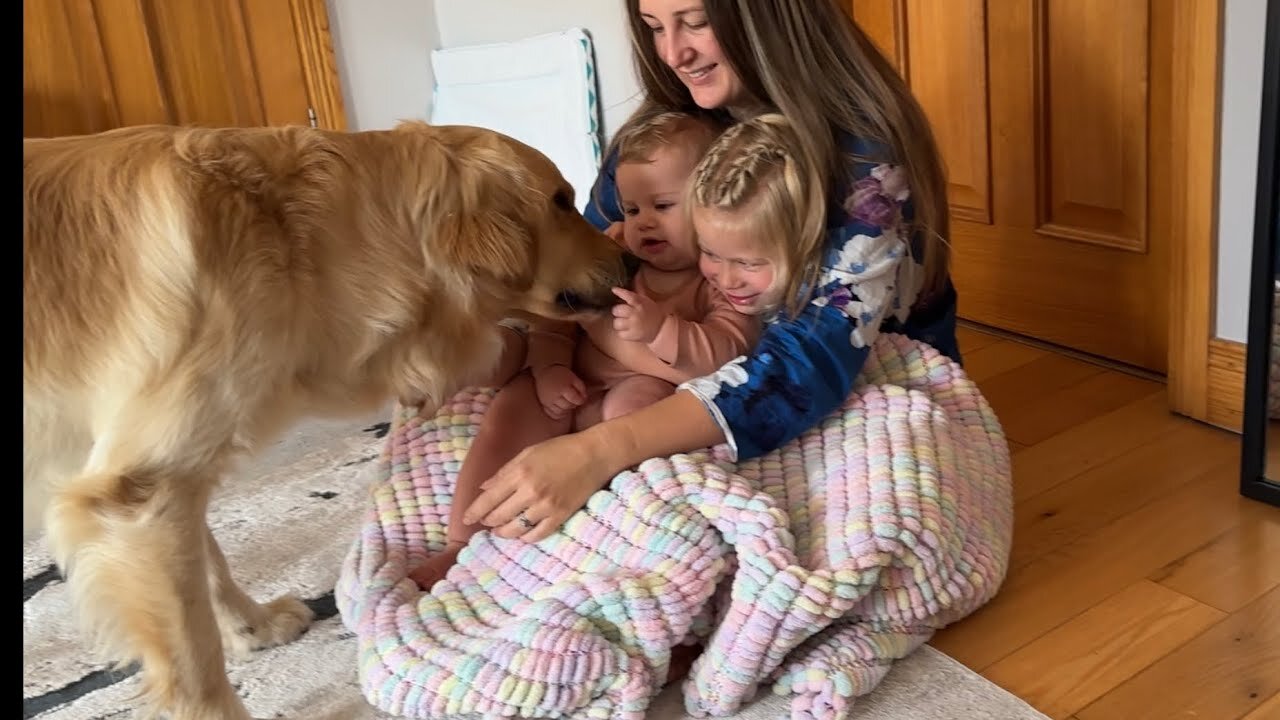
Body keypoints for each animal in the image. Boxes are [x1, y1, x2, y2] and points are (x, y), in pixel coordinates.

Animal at [22, 120, 632, 712]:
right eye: (560, 200)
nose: (632, 259)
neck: (297, 241)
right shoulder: (137, 495)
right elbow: (194, 664)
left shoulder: (163, 473)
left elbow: (207, 563)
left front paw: (253, 626)